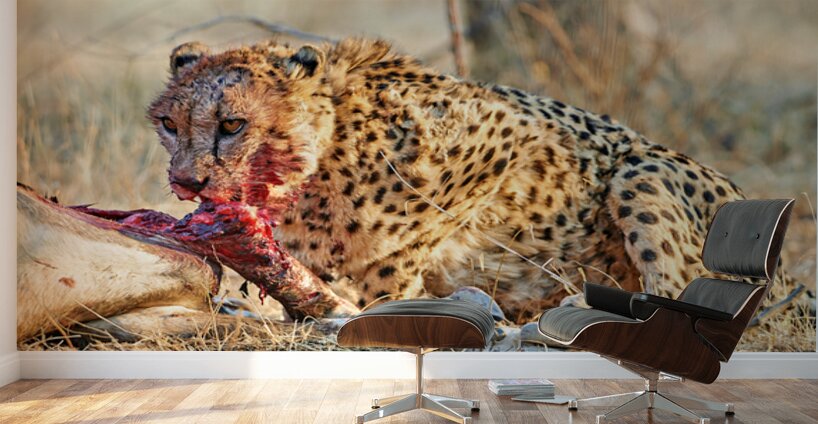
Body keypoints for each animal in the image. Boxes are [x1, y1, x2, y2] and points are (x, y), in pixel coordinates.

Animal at [148, 37, 791, 324]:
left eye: (232, 124)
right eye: (169, 124)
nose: (186, 183)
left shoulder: (514, 132)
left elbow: (405, 247)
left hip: (646, 171)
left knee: (677, 288)